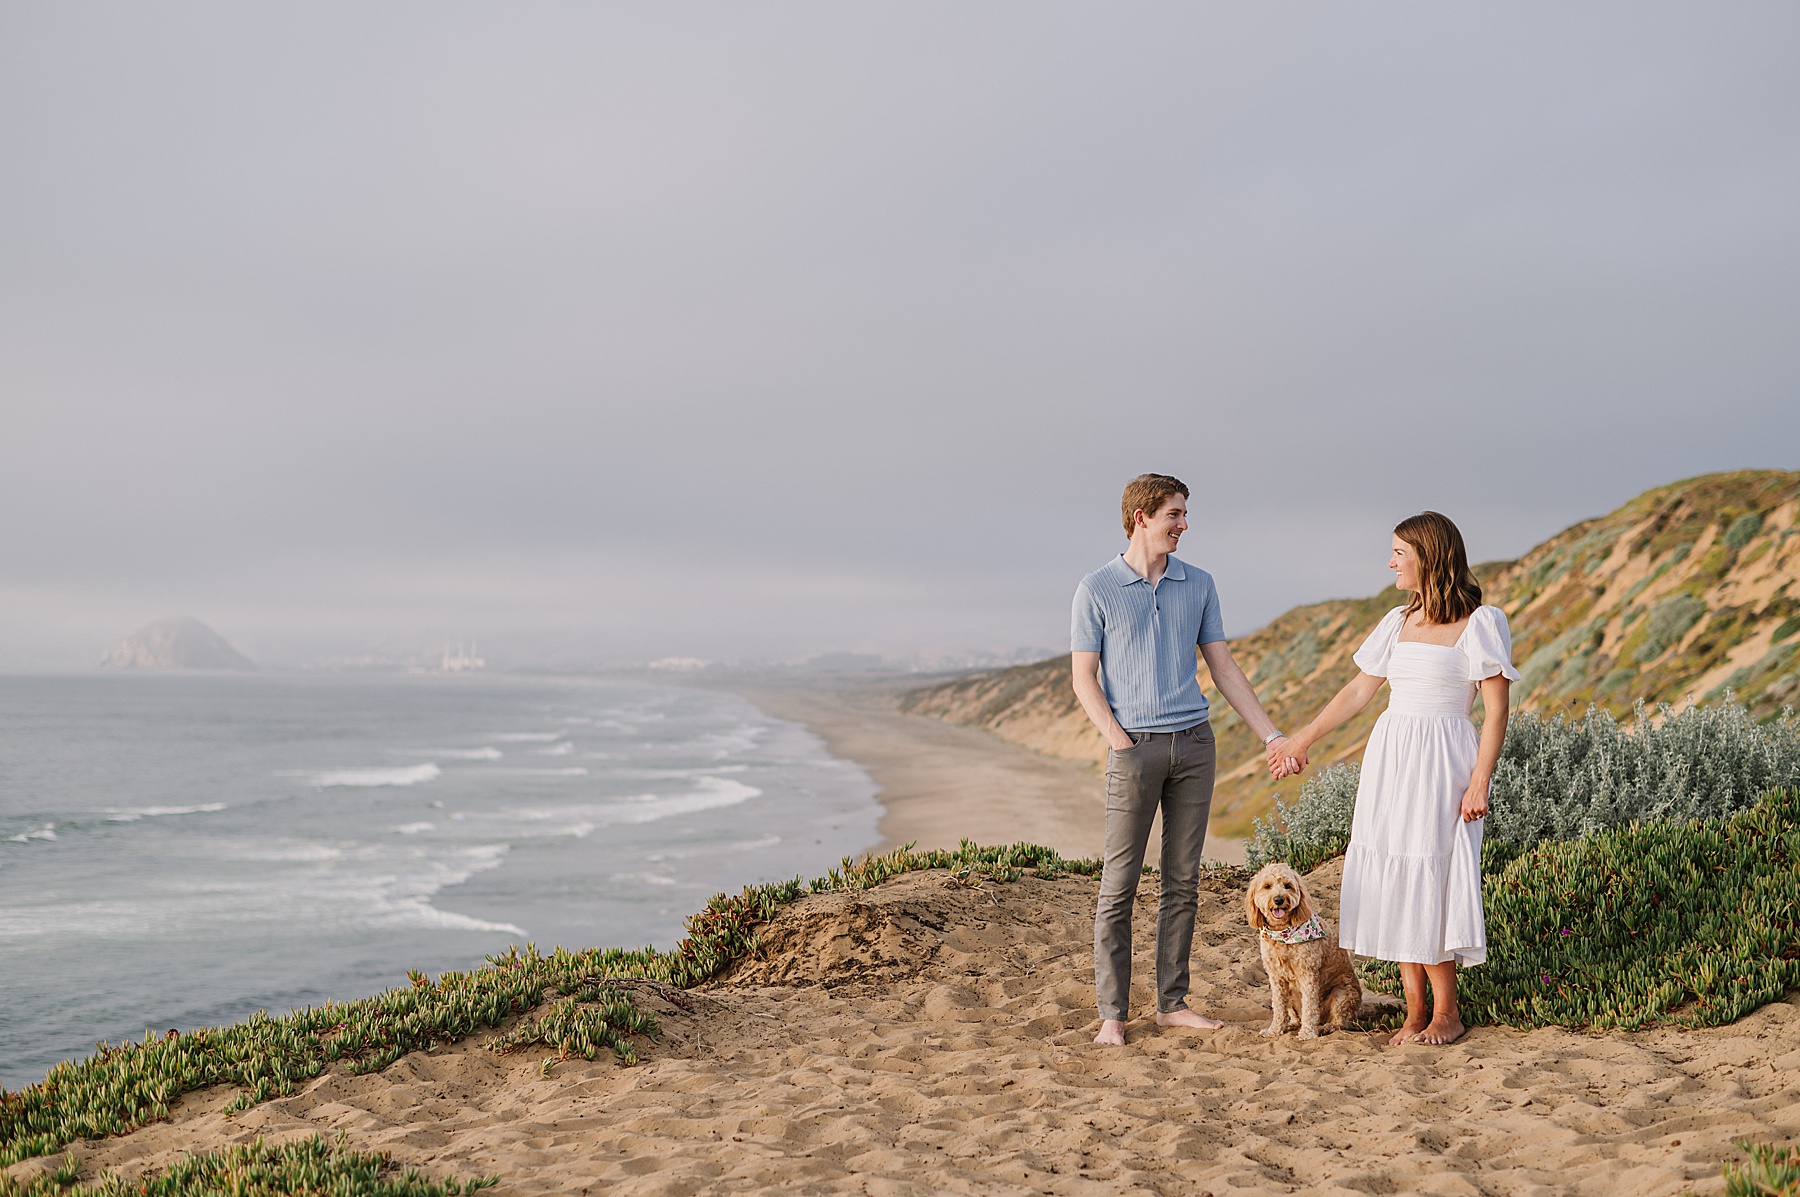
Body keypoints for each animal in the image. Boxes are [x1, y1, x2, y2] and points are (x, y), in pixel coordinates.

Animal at [1245, 860, 1353, 1036]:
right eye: (1267, 886)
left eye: (1288, 886)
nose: (1279, 899)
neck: (1283, 933)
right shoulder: (1276, 977)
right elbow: (1279, 1007)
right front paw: (1274, 1030)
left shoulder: (1308, 973)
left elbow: (1310, 1005)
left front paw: (1308, 1033)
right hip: (1290, 993)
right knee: (1296, 1018)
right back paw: (1290, 1025)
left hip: (1341, 993)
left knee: (1340, 1022)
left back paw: (1323, 1027)